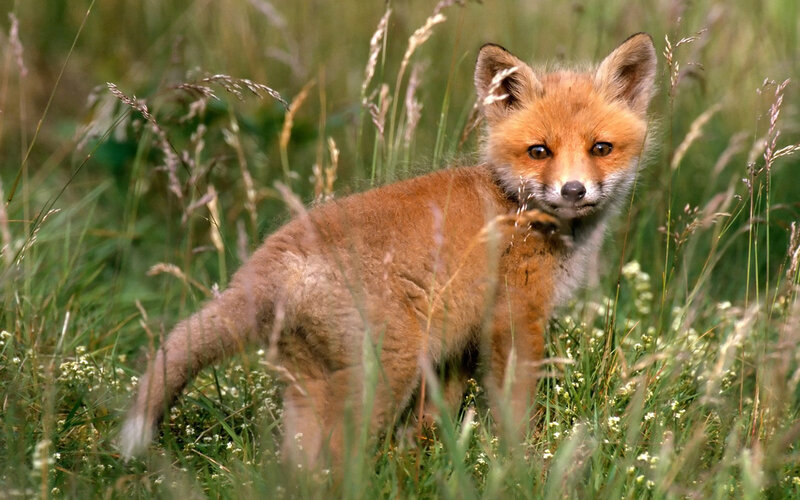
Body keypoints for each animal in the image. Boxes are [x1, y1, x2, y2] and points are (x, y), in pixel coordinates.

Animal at [119, 33, 657, 466]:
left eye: (601, 148)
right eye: (539, 151)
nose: (573, 191)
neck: (516, 206)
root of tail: (268, 262)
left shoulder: (456, 345)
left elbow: (431, 424)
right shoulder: (513, 320)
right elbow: (515, 412)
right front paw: (524, 464)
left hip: (314, 385)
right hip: (383, 375)